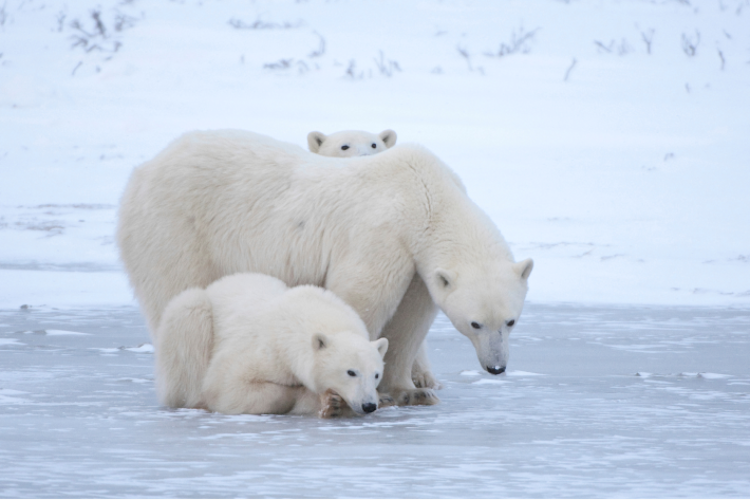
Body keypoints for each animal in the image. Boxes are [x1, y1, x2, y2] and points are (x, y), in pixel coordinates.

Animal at [156, 272, 389, 417]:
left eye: (376, 374)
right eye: (351, 372)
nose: (369, 405)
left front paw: (334, 405)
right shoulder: (266, 350)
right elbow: (225, 386)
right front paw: (326, 401)